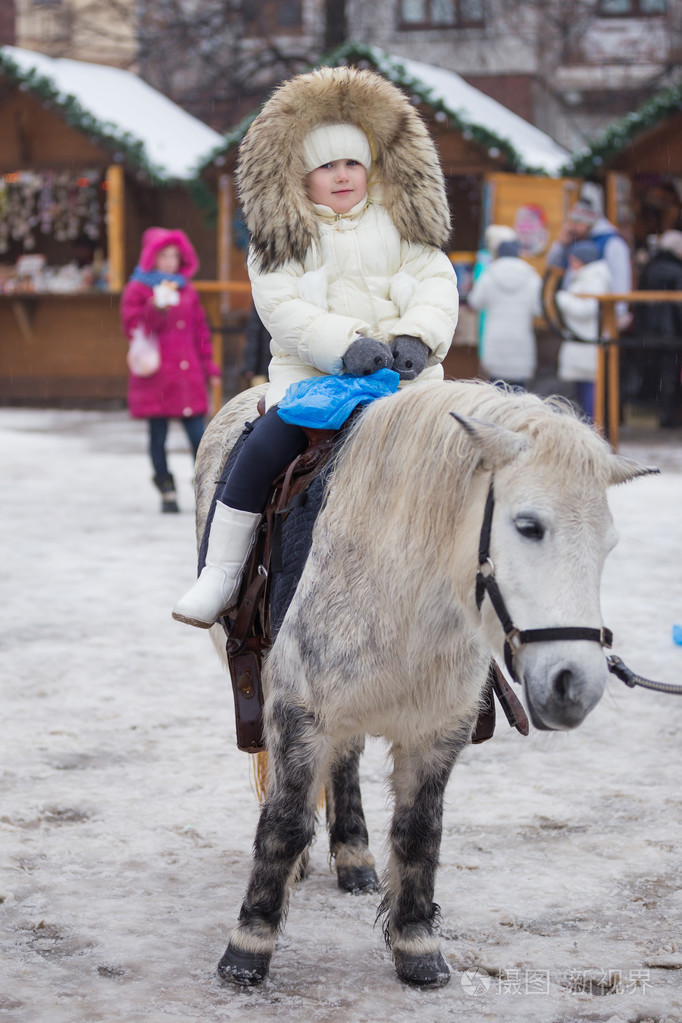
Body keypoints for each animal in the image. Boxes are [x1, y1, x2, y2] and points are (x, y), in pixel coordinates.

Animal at [194, 380, 654, 986]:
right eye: (528, 525)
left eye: (608, 544)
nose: (573, 682)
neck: (402, 591)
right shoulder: (300, 708)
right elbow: (286, 822)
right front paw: (249, 946)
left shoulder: (437, 731)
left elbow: (419, 832)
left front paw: (416, 945)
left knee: (347, 760)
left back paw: (355, 856)